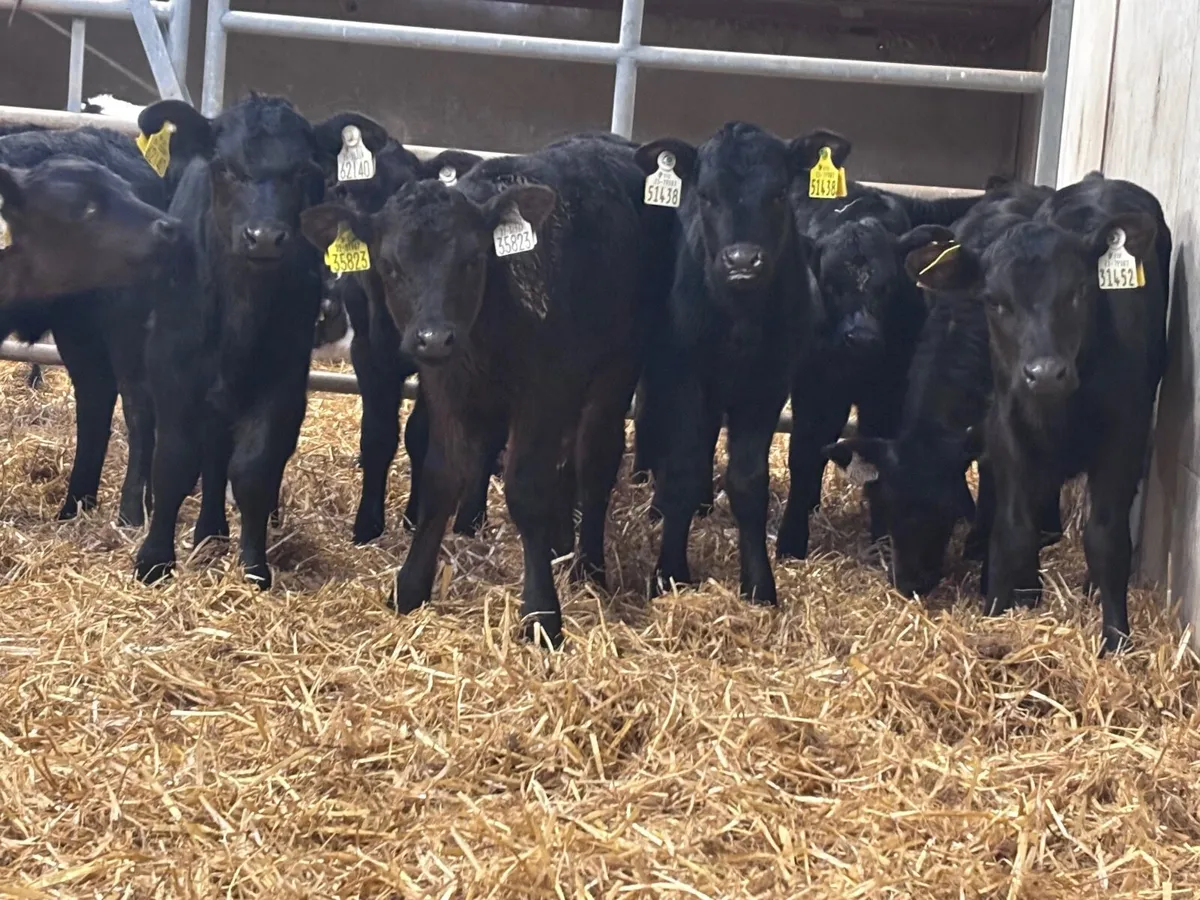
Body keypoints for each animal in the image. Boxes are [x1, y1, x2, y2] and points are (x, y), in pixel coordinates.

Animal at [132, 93, 353, 588]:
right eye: (226, 168)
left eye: (301, 171)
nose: (264, 237)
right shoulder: (171, 370)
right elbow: (173, 461)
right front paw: (154, 560)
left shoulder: (282, 382)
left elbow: (253, 470)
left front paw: (254, 567)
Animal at [300, 132, 672, 647]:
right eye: (390, 266)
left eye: (473, 260)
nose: (434, 337)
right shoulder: (446, 388)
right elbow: (439, 477)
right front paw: (410, 587)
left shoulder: (545, 392)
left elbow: (526, 489)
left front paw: (541, 613)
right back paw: (561, 543)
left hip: (617, 368)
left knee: (596, 459)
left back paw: (589, 567)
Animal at [631, 123, 823, 607]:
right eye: (707, 195)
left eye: (778, 193)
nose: (742, 261)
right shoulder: (681, 374)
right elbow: (680, 468)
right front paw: (670, 572)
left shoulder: (767, 387)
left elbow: (748, 482)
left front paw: (759, 584)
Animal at [903, 172, 1169, 652]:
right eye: (995, 301)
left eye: (1079, 290)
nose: (1045, 373)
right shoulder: (1007, 434)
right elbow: (1012, 530)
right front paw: (999, 610)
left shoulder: (1122, 441)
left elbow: (1106, 538)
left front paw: (1116, 637)